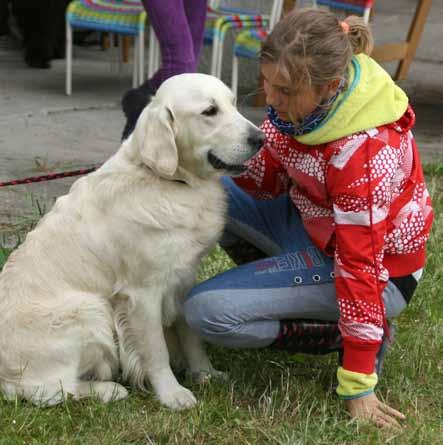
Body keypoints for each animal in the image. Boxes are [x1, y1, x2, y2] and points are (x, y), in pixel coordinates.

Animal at [0, 73, 266, 410]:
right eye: (210, 111)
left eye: (233, 103)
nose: (260, 139)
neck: (169, 181)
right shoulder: (143, 293)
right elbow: (156, 352)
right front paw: (172, 394)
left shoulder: (184, 280)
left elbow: (191, 336)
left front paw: (204, 373)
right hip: (91, 308)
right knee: (46, 389)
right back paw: (108, 390)